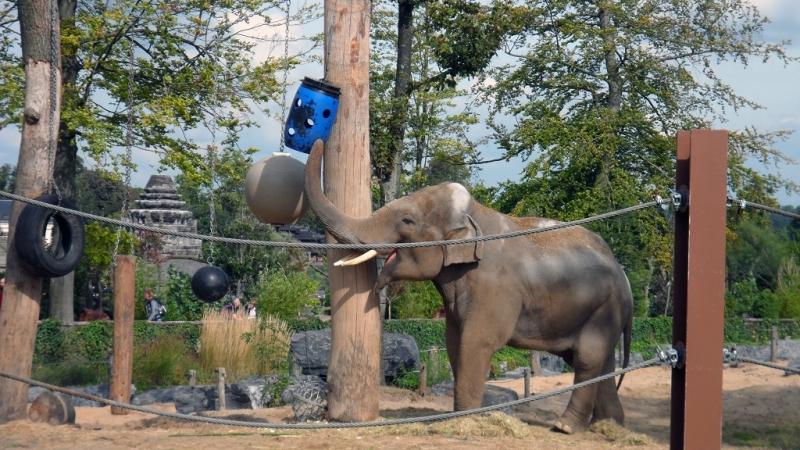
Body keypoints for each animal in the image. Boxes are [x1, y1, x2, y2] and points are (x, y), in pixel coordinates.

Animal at [304, 140, 636, 432]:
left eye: (408, 221)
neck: (476, 215)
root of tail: (624, 277)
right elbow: (454, 342)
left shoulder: (496, 289)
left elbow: (476, 342)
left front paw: (463, 420)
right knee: (599, 360)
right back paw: (609, 426)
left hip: (606, 306)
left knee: (587, 358)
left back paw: (566, 427)